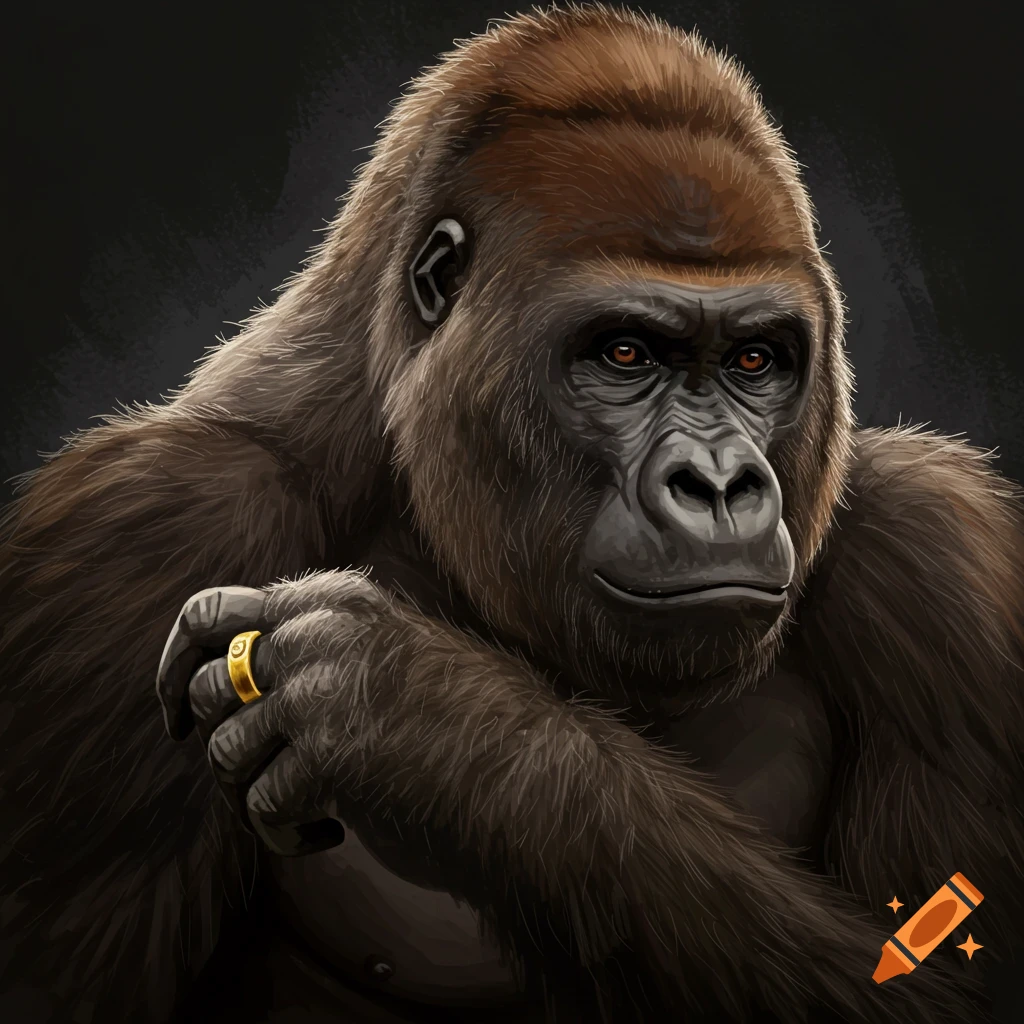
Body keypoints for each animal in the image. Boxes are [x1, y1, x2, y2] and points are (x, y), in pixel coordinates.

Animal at [1, 4, 1022, 1023]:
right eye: (623, 354)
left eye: (755, 361)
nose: (720, 483)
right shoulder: (148, 529)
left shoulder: (941, 558)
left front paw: (429, 718)